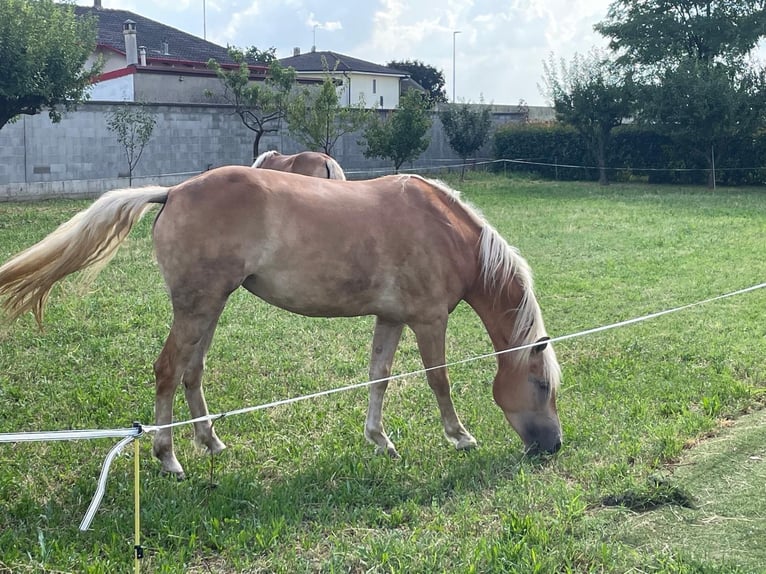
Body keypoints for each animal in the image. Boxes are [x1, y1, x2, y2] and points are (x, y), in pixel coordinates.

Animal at [0, 168, 564, 482]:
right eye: (540, 385)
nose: (554, 446)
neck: (446, 232)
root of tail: (174, 192)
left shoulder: (390, 318)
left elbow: (379, 377)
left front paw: (379, 440)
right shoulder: (428, 320)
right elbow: (438, 380)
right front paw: (460, 436)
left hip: (210, 307)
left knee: (192, 371)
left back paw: (210, 442)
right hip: (196, 308)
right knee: (167, 370)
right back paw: (168, 458)